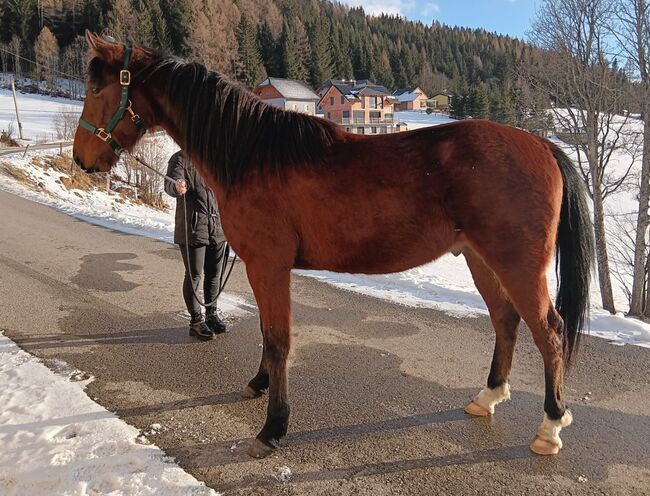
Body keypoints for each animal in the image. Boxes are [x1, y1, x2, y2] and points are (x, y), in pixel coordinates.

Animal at [72, 30, 592, 458]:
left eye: (97, 90)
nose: (82, 158)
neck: (251, 154)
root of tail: (542, 146)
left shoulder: (268, 265)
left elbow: (278, 339)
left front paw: (273, 428)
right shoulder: (262, 267)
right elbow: (267, 333)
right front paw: (259, 384)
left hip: (517, 265)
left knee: (549, 332)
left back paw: (550, 427)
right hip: (481, 260)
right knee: (506, 321)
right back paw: (488, 397)